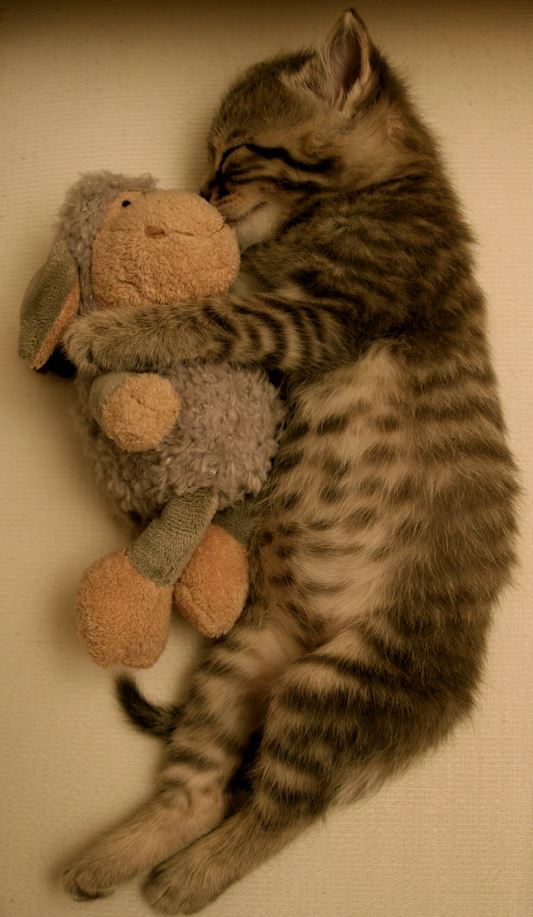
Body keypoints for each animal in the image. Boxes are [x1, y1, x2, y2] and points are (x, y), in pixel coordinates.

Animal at [61, 10, 516, 912]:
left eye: (234, 152)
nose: (203, 195)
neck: (385, 187)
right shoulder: (290, 319)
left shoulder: (312, 317)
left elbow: (204, 313)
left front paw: (112, 329)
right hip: (238, 662)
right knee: (202, 791)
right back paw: (111, 858)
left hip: (336, 686)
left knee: (281, 812)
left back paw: (184, 880)